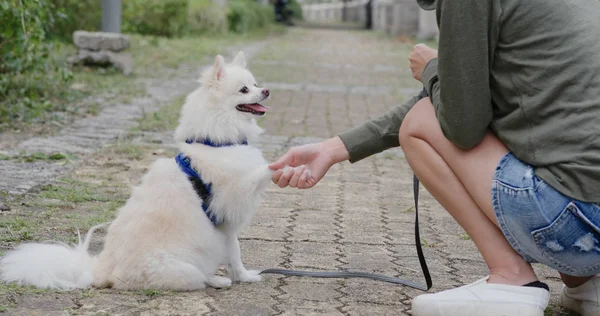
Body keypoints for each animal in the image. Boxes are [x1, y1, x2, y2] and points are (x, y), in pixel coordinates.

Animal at [0, 51, 276, 292]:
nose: (266, 90)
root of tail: (102, 271)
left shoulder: (225, 224)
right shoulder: (233, 195)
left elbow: (234, 251)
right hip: (180, 267)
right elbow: (260, 174)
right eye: (244, 89)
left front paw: (244, 276)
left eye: (255, 83)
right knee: (196, 277)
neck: (214, 142)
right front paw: (281, 163)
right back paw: (217, 281)